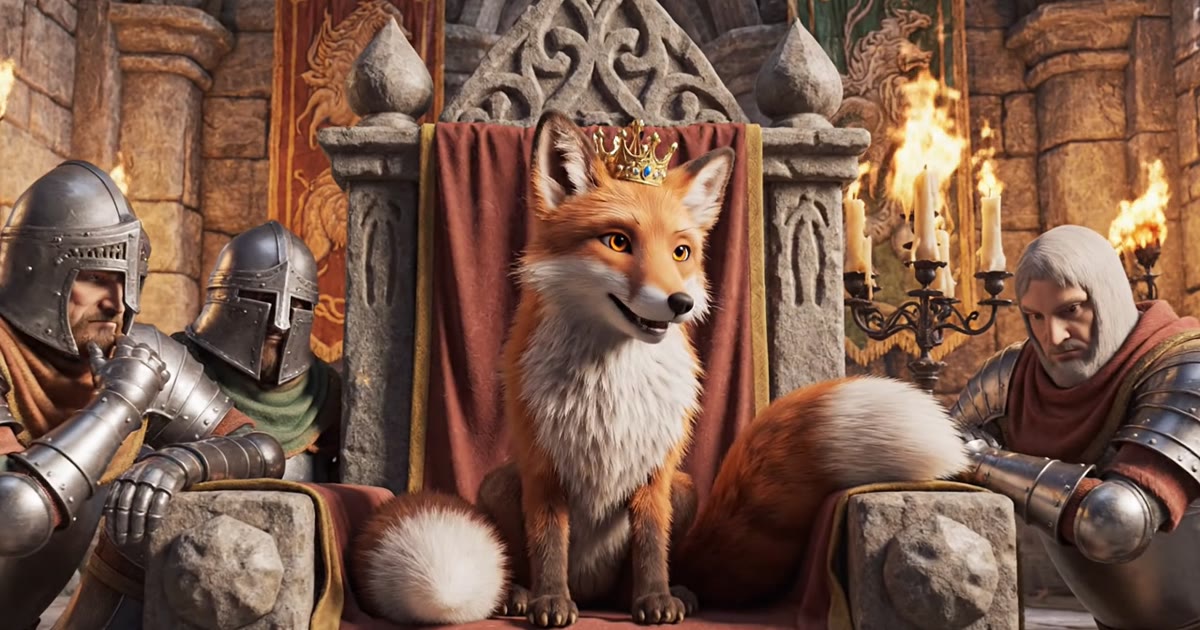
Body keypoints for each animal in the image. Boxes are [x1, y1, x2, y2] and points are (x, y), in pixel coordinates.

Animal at [348, 110, 971, 627]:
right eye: (618, 241)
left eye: (681, 252)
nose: (681, 304)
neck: (610, 381)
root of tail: (594, 591)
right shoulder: (544, 467)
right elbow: (550, 544)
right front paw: (549, 602)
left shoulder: (655, 470)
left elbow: (651, 547)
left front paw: (653, 601)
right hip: (499, 481)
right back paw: (523, 595)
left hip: (687, 488)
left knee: (661, 566)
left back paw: (669, 595)